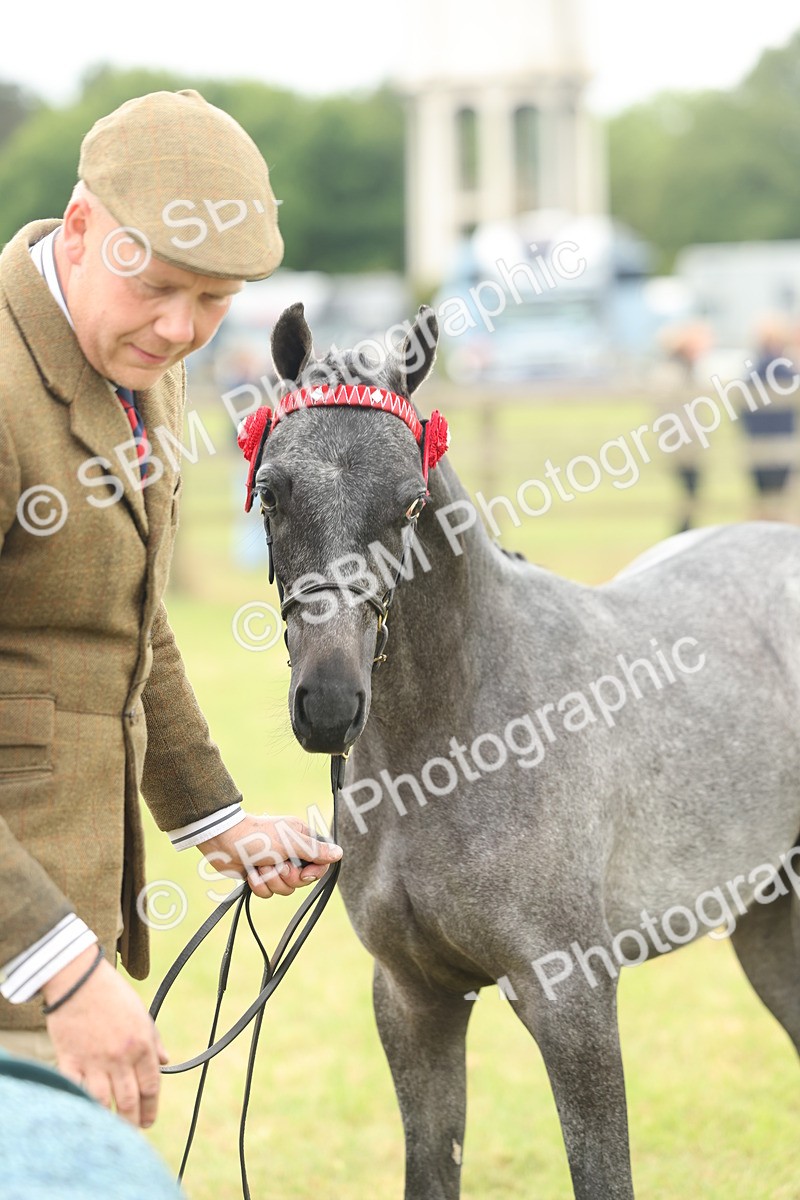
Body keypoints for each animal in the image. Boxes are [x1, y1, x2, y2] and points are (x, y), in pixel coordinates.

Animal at [243, 301, 800, 1199]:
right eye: (271, 489)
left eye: (409, 505)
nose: (327, 705)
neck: (454, 745)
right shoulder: (416, 1002)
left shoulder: (571, 999)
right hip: (767, 919)